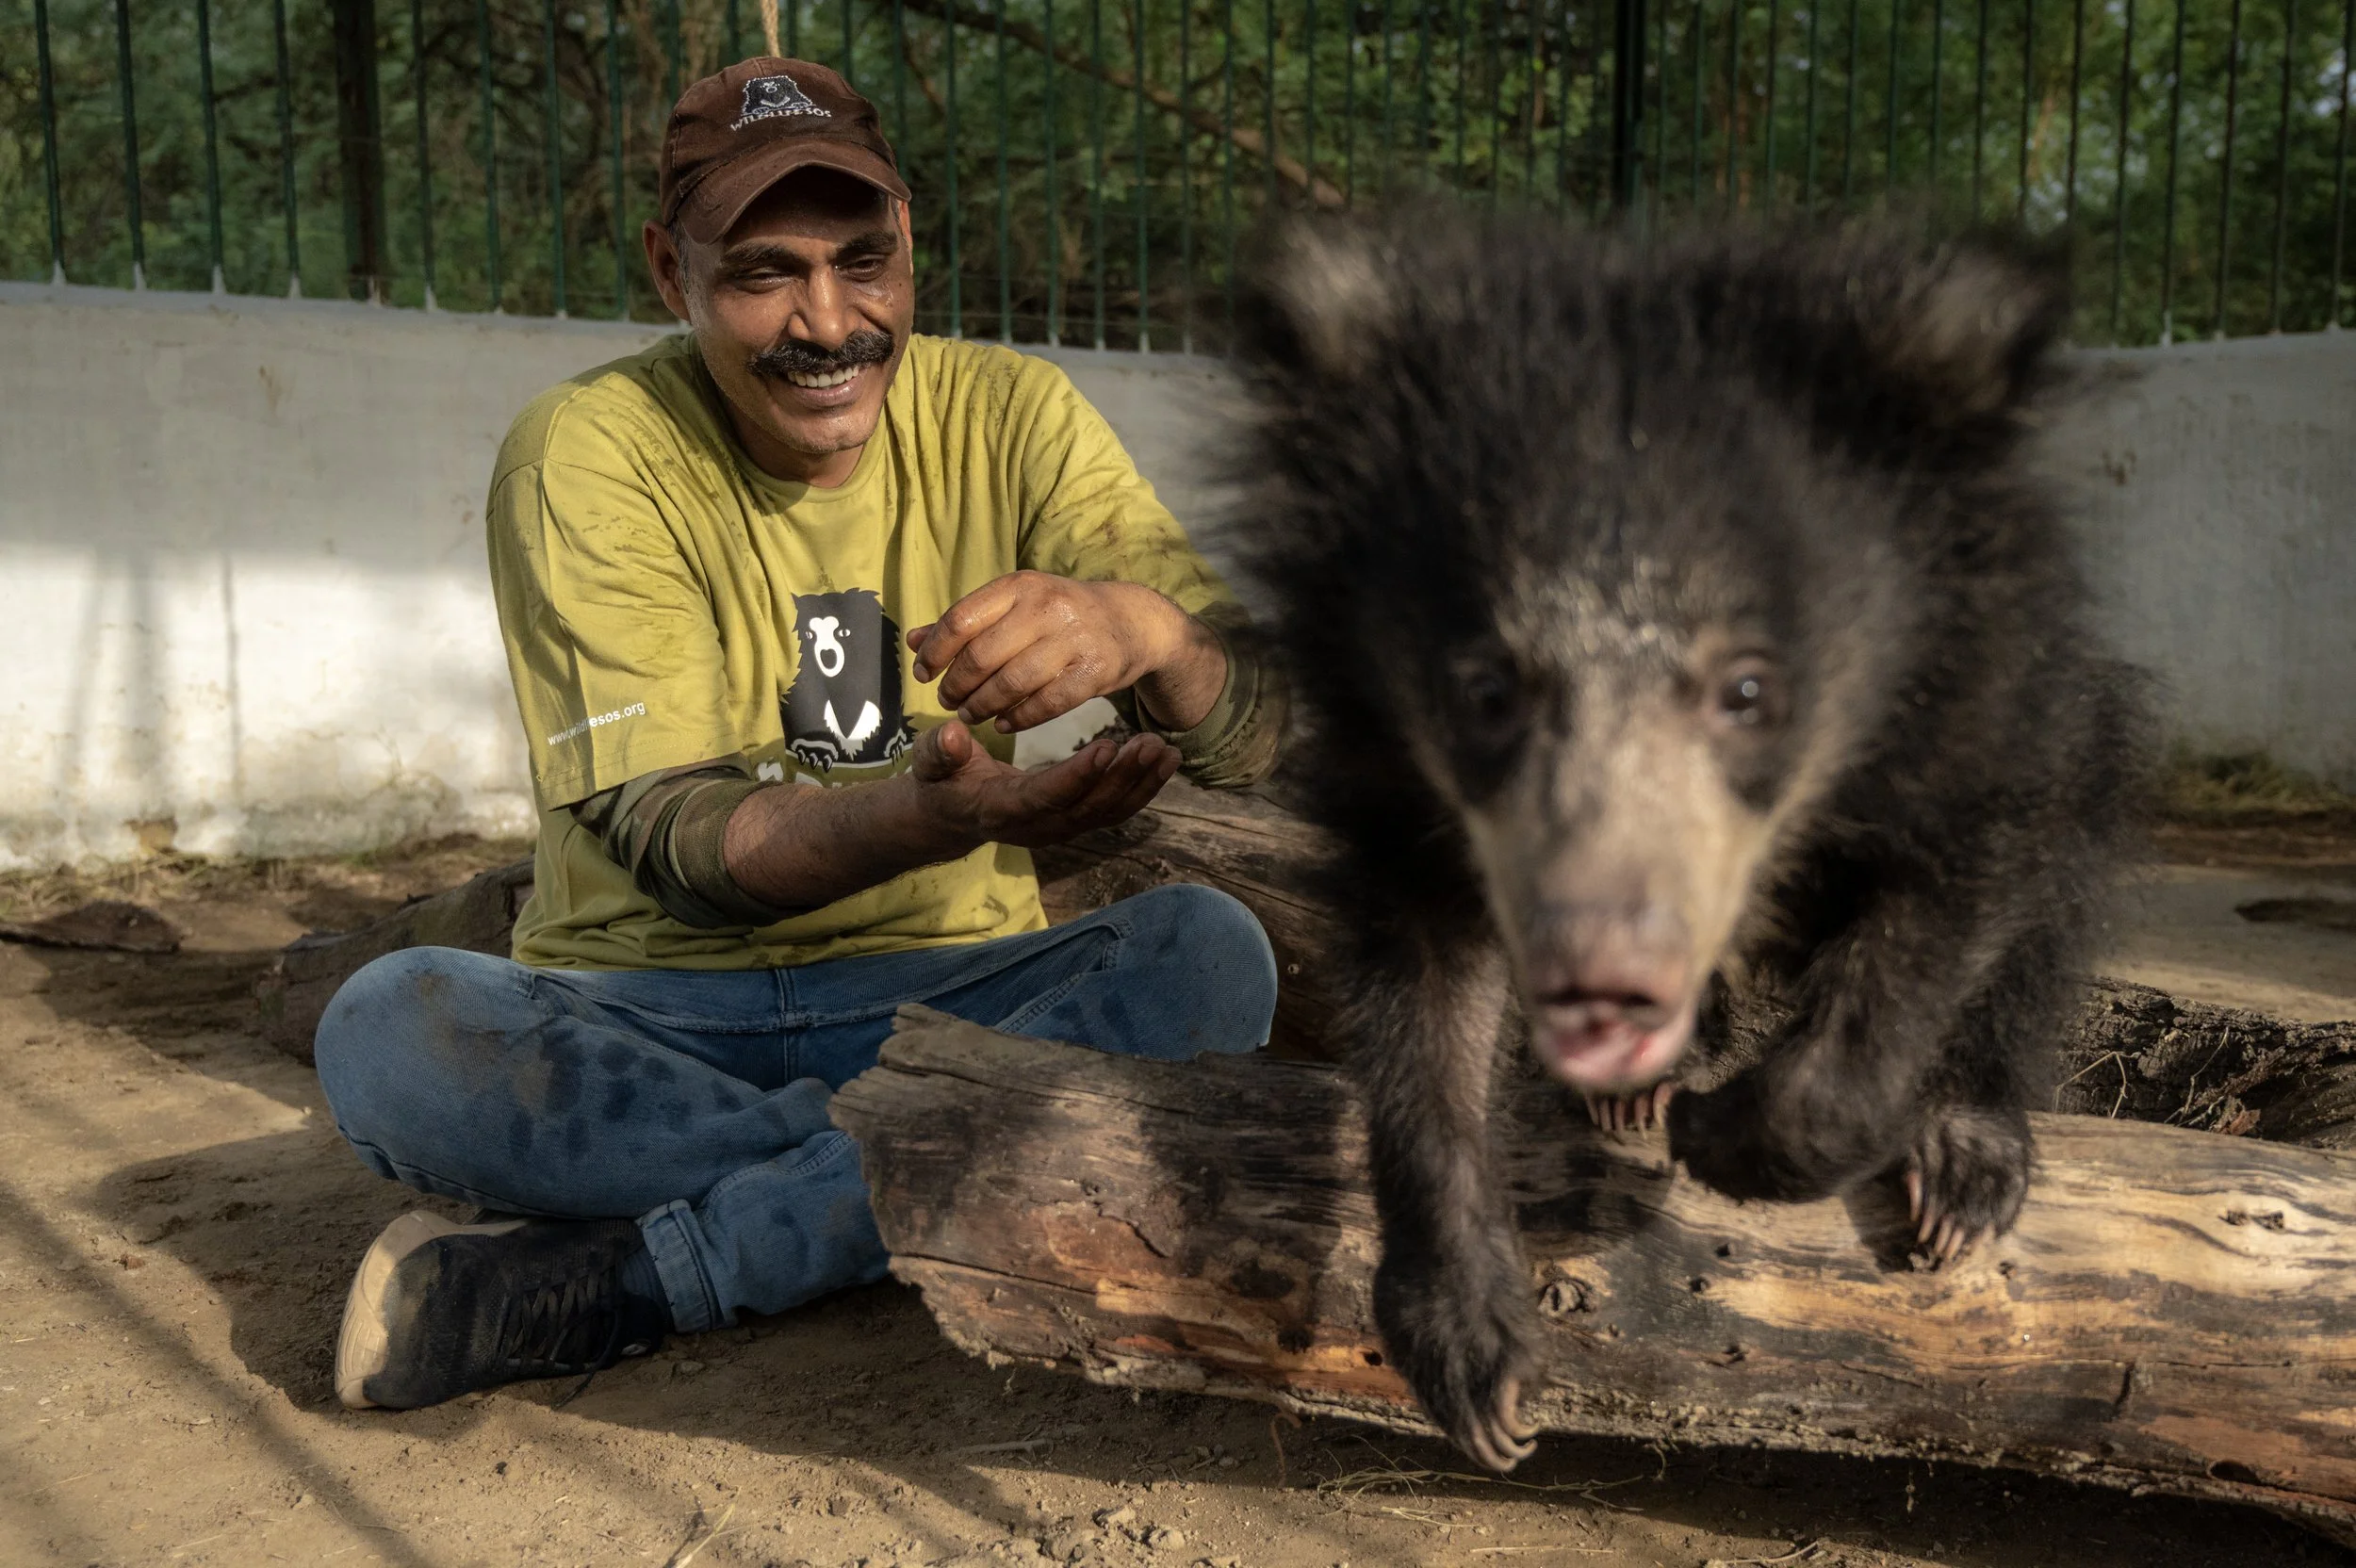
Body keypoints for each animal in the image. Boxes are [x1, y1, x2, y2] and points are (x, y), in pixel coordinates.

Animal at [1228, 213, 2149, 1473]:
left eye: (1748, 690)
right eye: (1485, 691)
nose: (1600, 976)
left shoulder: (1987, 694)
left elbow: (1955, 890)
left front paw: (1725, 1135)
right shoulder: (1395, 770)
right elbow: (1425, 989)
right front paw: (1473, 1352)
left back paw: (1961, 1161)